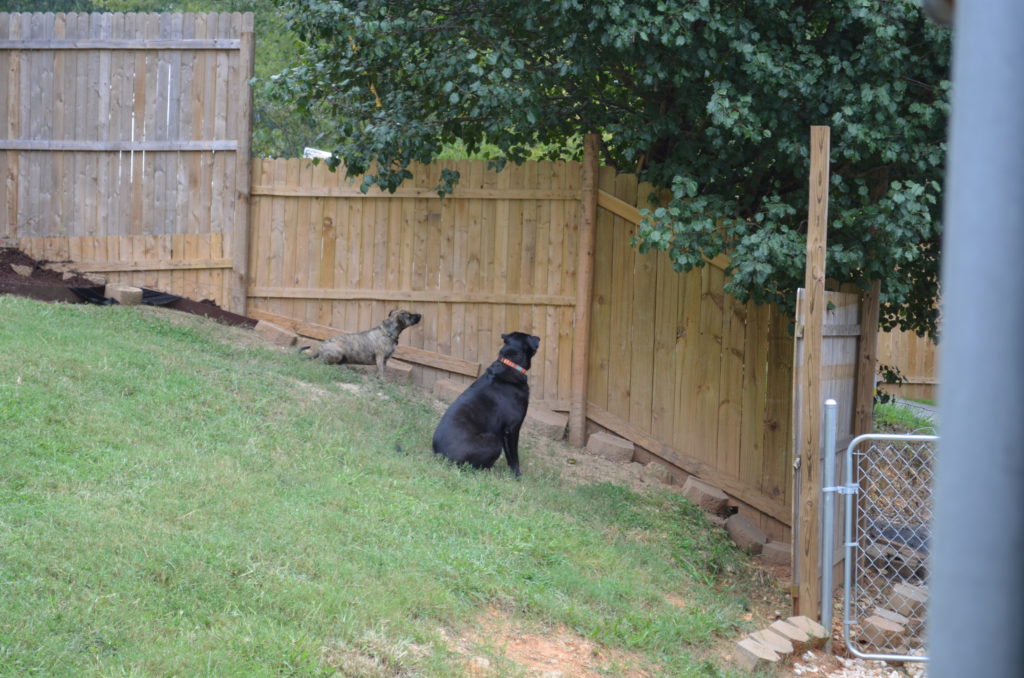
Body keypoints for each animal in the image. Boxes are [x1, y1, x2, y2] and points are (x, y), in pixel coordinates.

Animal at [434, 333, 544, 481]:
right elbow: (514, 456)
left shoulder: (503, 432)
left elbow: (509, 456)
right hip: (493, 441)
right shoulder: (512, 429)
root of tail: (441, 457)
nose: (538, 338)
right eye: (530, 337)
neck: (510, 364)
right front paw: (517, 476)